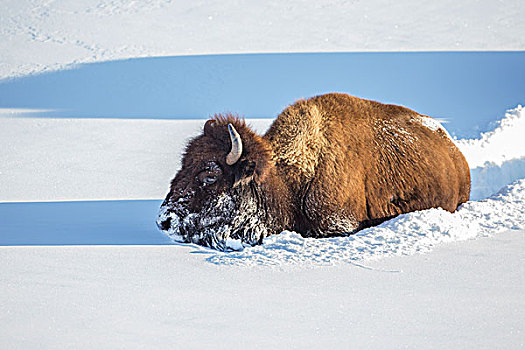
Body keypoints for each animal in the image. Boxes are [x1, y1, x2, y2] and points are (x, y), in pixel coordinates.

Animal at [157, 93, 470, 250]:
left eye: (209, 174)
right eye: (183, 164)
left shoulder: (337, 224)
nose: (164, 221)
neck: (287, 179)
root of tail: (455, 154)